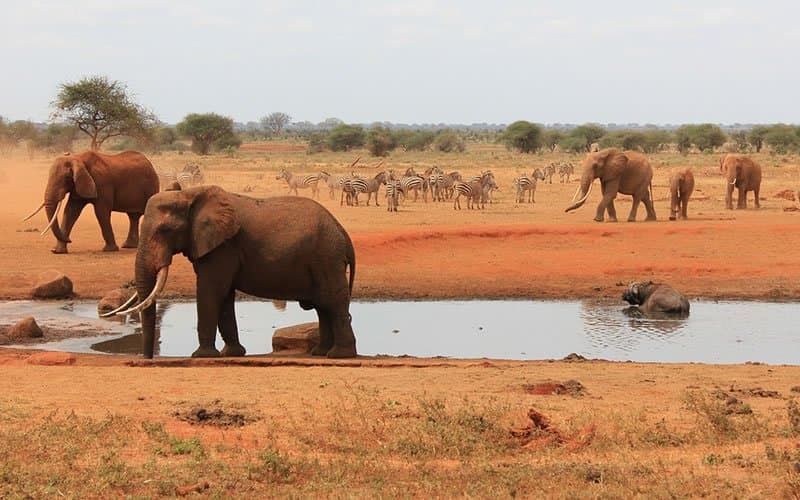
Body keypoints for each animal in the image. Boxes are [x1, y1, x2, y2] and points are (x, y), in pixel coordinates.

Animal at [24, 151, 160, 254]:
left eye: (66, 178)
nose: (70, 240)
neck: (78, 158)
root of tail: (150, 163)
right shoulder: (79, 185)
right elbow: (71, 211)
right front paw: (58, 251)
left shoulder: (102, 184)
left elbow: (101, 212)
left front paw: (110, 250)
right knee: (133, 217)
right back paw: (129, 246)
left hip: (152, 186)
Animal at [108, 185, 357, 359]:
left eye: (165, 230)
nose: (148, 359)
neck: (190, 194)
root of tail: (343, 233)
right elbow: (224, 296)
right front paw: (231, 354)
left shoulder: (223, 247)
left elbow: (210, 291)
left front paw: (202, 357)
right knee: (323, 306)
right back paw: (320, 353)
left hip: (326, 257)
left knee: (332, 301)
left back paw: (339, 355)